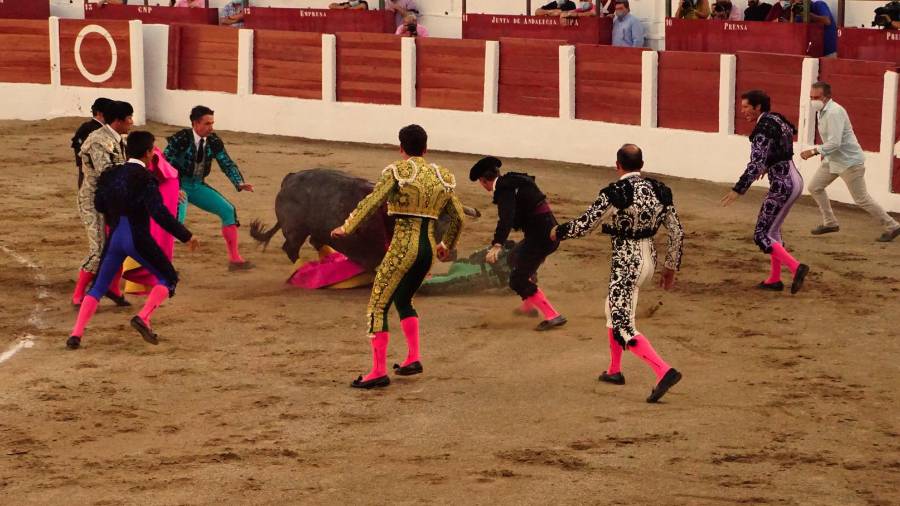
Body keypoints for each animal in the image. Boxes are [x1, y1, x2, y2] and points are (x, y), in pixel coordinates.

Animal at [250, 169, 482, 270]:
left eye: (452, 222)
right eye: (434, 224)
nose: (450, 254)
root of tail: (290, 178)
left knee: (315, 241)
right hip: (295, 230)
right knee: (290, 248)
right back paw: (303, 268)